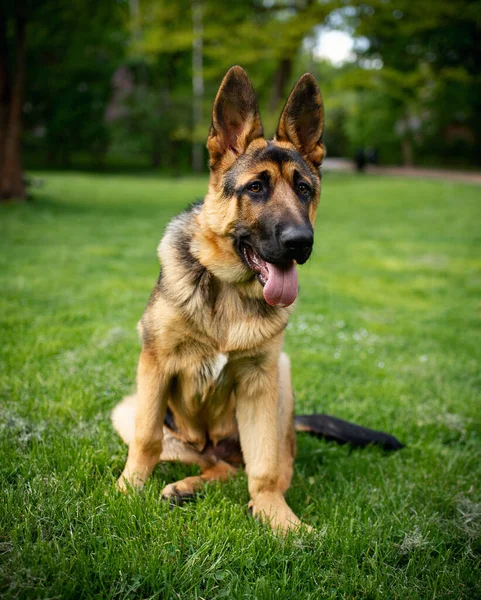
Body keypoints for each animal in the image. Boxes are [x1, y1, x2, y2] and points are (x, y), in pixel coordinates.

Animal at [112, 67, 402, 536]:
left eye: (304, 189)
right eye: (256, 188)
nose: (301, 242)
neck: (229, 289)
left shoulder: (258, 383)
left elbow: (264, 468)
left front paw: (277, 517)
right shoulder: (154, 365)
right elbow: (146, 439)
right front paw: (126, 489)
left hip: (280, 375)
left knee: (246, 467)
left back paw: (208, 491)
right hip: (134, 409)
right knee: (203, 459)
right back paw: (183, 485)